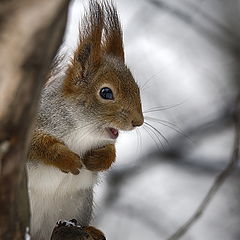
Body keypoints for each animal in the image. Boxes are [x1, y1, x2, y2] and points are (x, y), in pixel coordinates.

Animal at [26, 0, 142, 239]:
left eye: (137, 89)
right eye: (106, 93)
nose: (139, 121)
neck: (82, 131)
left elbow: (109, 151)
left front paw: (98, 159)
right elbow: (36, 144)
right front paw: (65, 158)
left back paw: (91, 229)